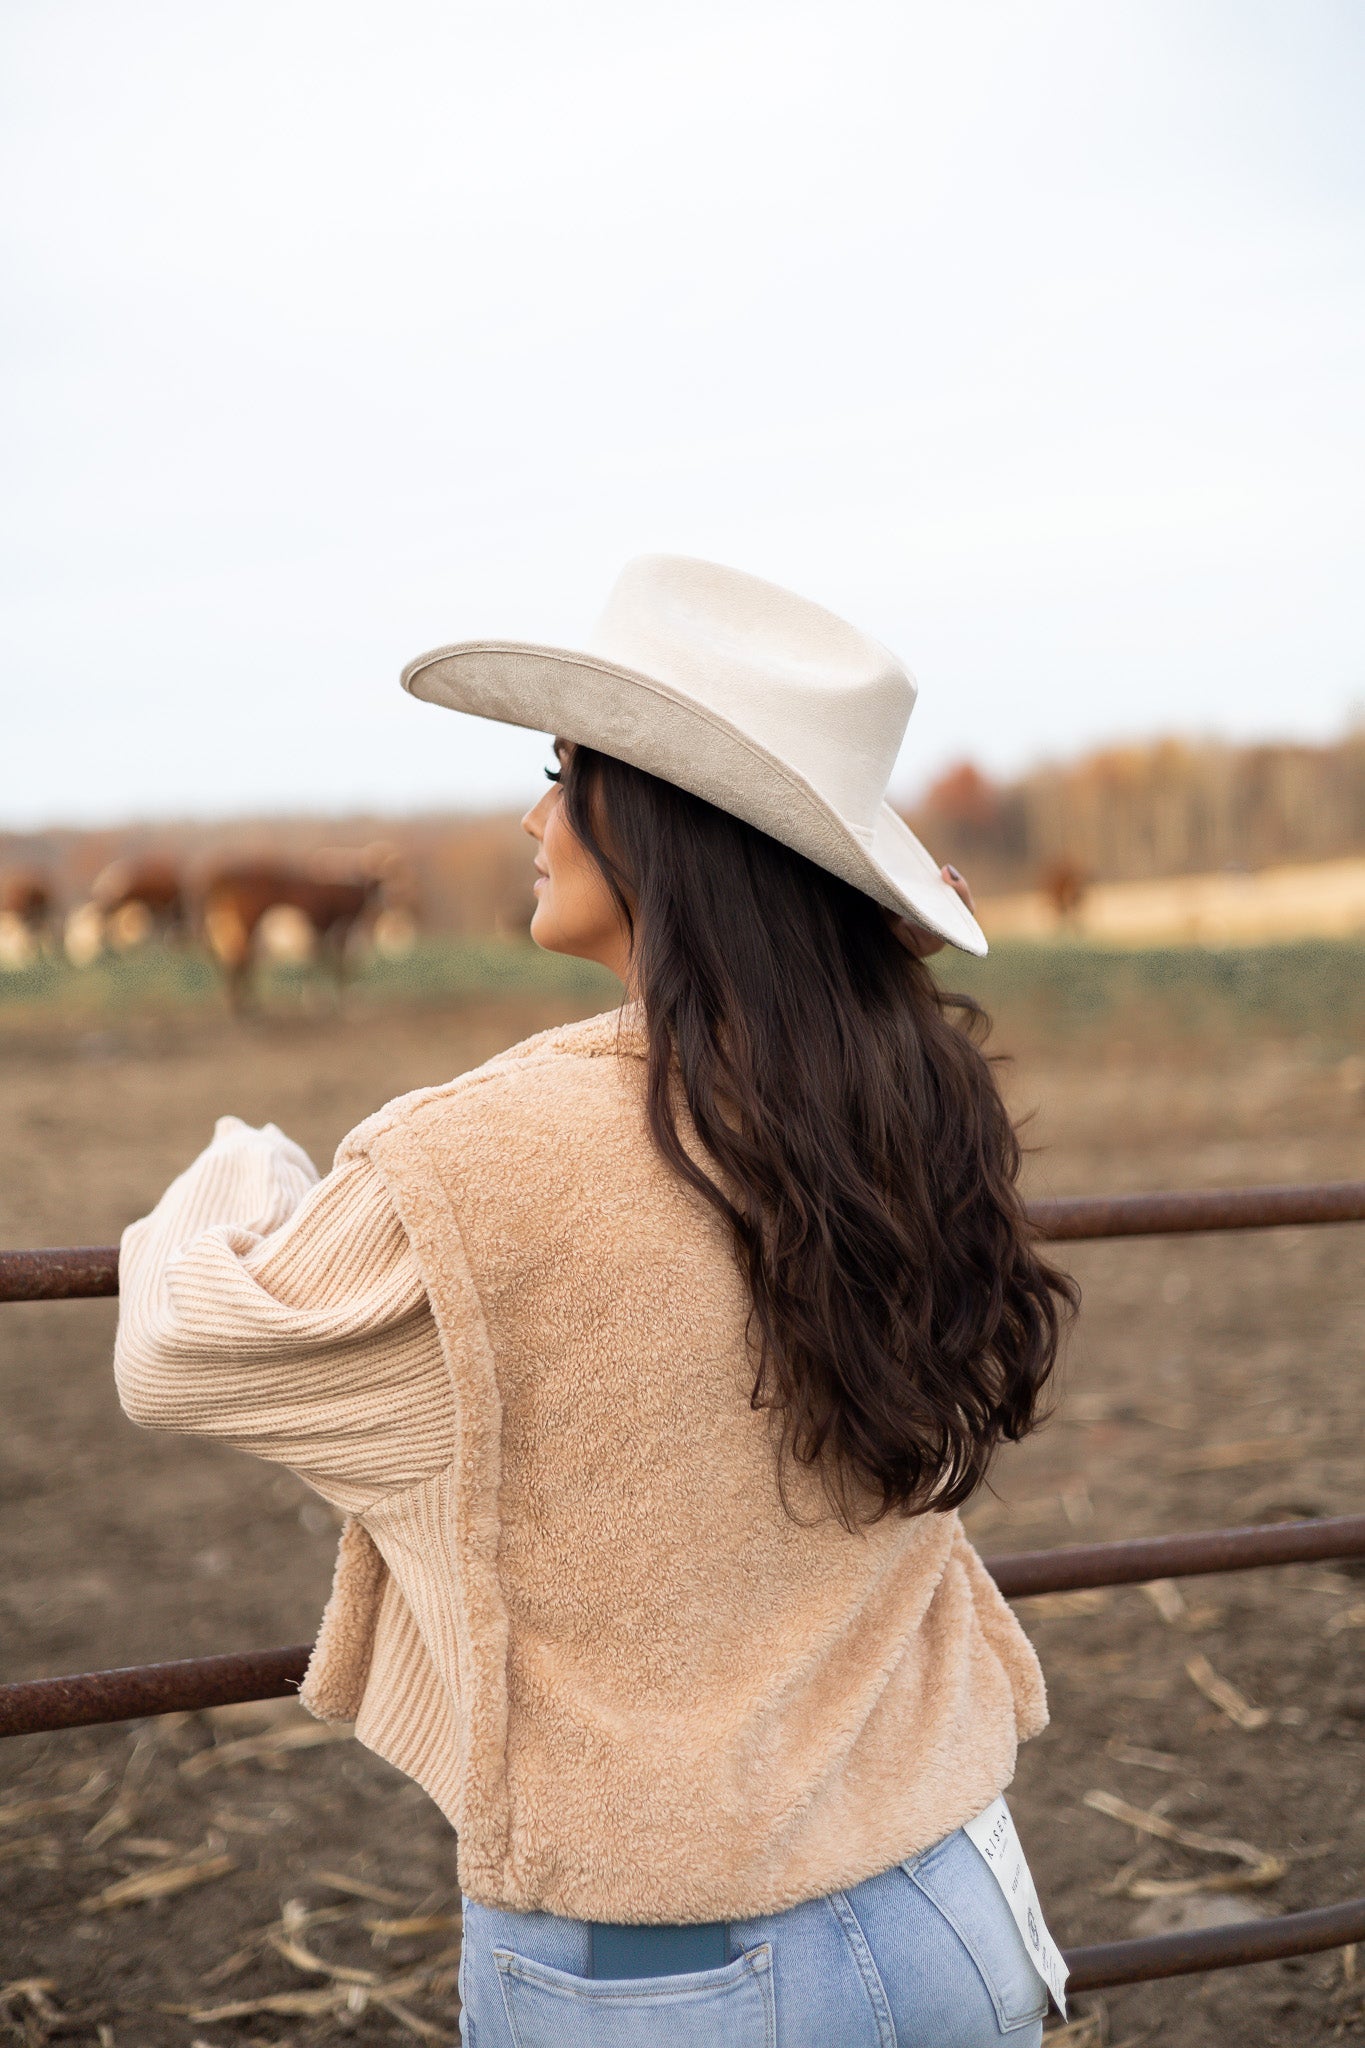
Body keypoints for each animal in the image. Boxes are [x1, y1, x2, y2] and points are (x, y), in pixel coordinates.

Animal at [197, 860, 382, 1011]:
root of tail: (222, 880)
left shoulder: (324, 938)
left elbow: (319, 964)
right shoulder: (337, 934)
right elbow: (336, 967)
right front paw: (336, 1001)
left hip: (226, 931)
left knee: (236, 962)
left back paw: (241, 1002)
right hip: (246, 929)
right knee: (241, 962)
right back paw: (243, 1005)